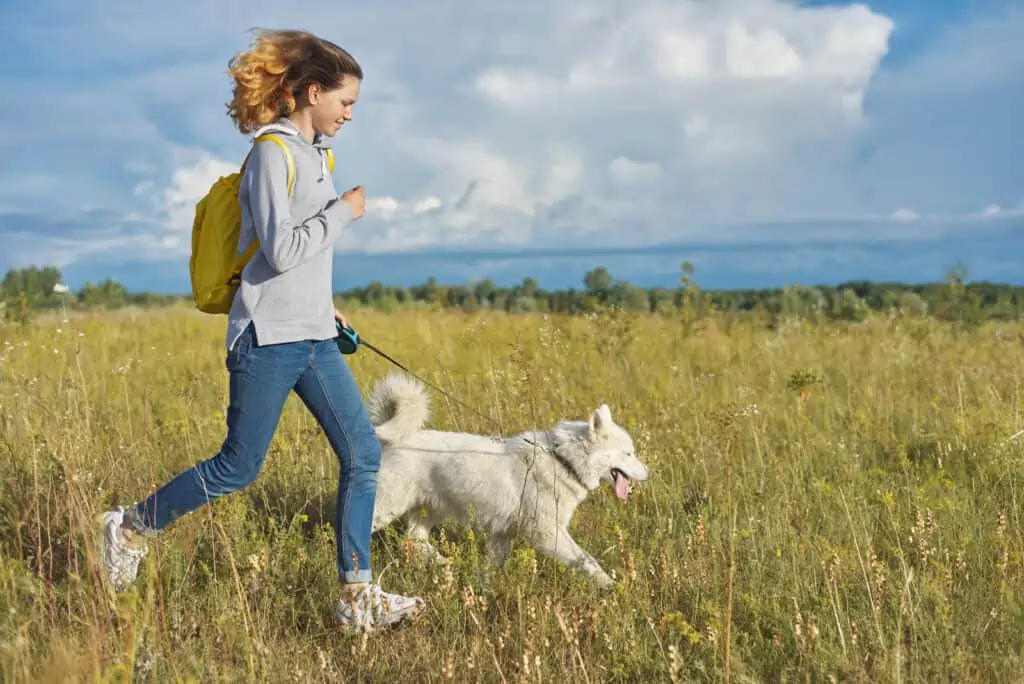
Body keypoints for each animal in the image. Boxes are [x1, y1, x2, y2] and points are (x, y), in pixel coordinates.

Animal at [366, 370, 647, 585]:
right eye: (628, 453)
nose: (649, 473)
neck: (563, 460)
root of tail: (395, 440)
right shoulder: (547, 533)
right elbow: (587, 561)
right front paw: (611, 587)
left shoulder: (502, 535)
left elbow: (492, 567)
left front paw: (483, 587)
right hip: (387, 508)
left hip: (429, 511)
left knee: (414, 543)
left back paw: (447, 564)